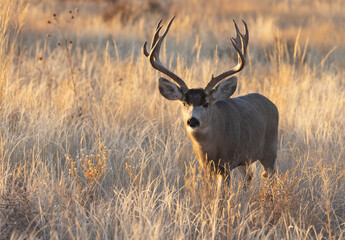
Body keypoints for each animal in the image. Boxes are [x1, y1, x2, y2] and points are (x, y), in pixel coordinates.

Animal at [142, 17, 276, 188]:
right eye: (184, 103)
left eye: (206, 103)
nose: (192, 120)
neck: (210, 149)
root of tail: (271, 104)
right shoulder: (206, 167)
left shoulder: (226, 164)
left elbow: (220, 195)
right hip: (243, 160)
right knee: (248, 176)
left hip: (270, 150)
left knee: (271, 176)